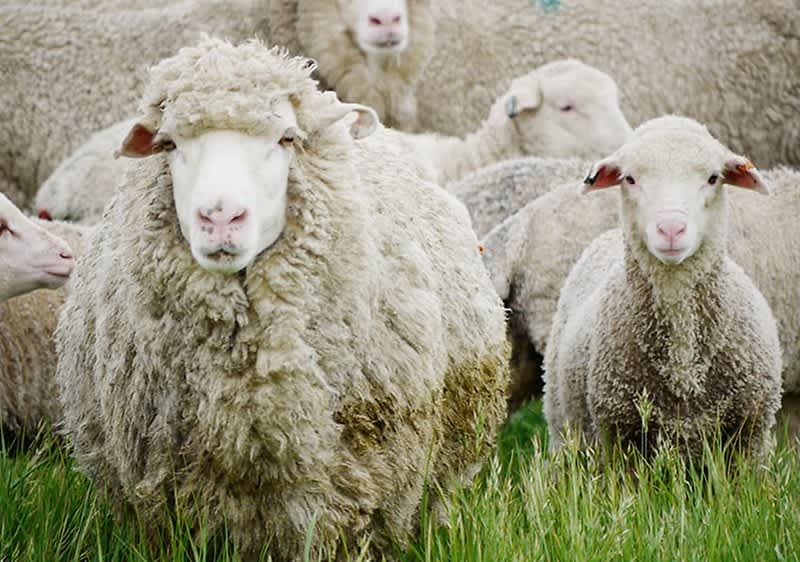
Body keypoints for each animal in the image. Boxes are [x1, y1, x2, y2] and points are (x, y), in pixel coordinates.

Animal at [55, 37, 510, 560]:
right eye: (168, 144)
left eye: (286, 139)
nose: (221, 216)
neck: (248, 388)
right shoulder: (170, 500)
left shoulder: (348, 494)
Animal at [542, 116, 782, 457]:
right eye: (630, 179)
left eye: (713, 178)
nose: (670, 228)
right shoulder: (619, 436)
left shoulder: (749, 434)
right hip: (565, 429)